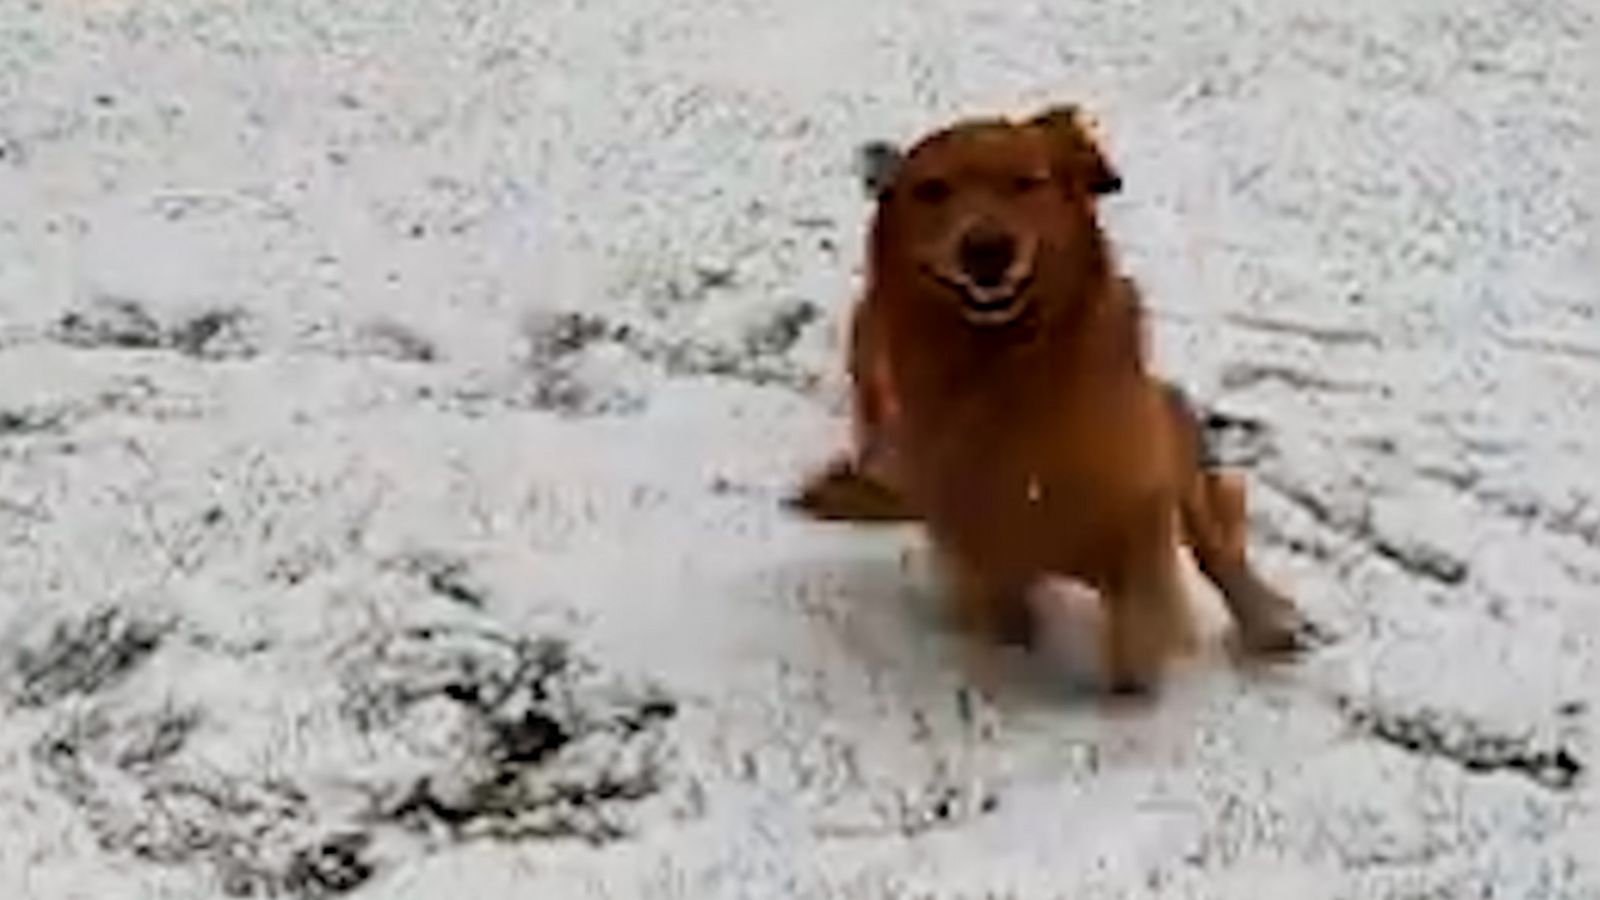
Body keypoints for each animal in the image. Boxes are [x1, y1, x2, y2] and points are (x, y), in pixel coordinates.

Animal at [790, 104, 1312, 695]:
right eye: (932, 190)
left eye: (1026, 182)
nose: (987, 250)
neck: (1006, 371)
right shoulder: (977, 545)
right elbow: (1005, 613)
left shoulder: (1140, 518)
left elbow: (1137, 638)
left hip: (1173, 430)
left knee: (1216, 541)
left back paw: (1266, 620)